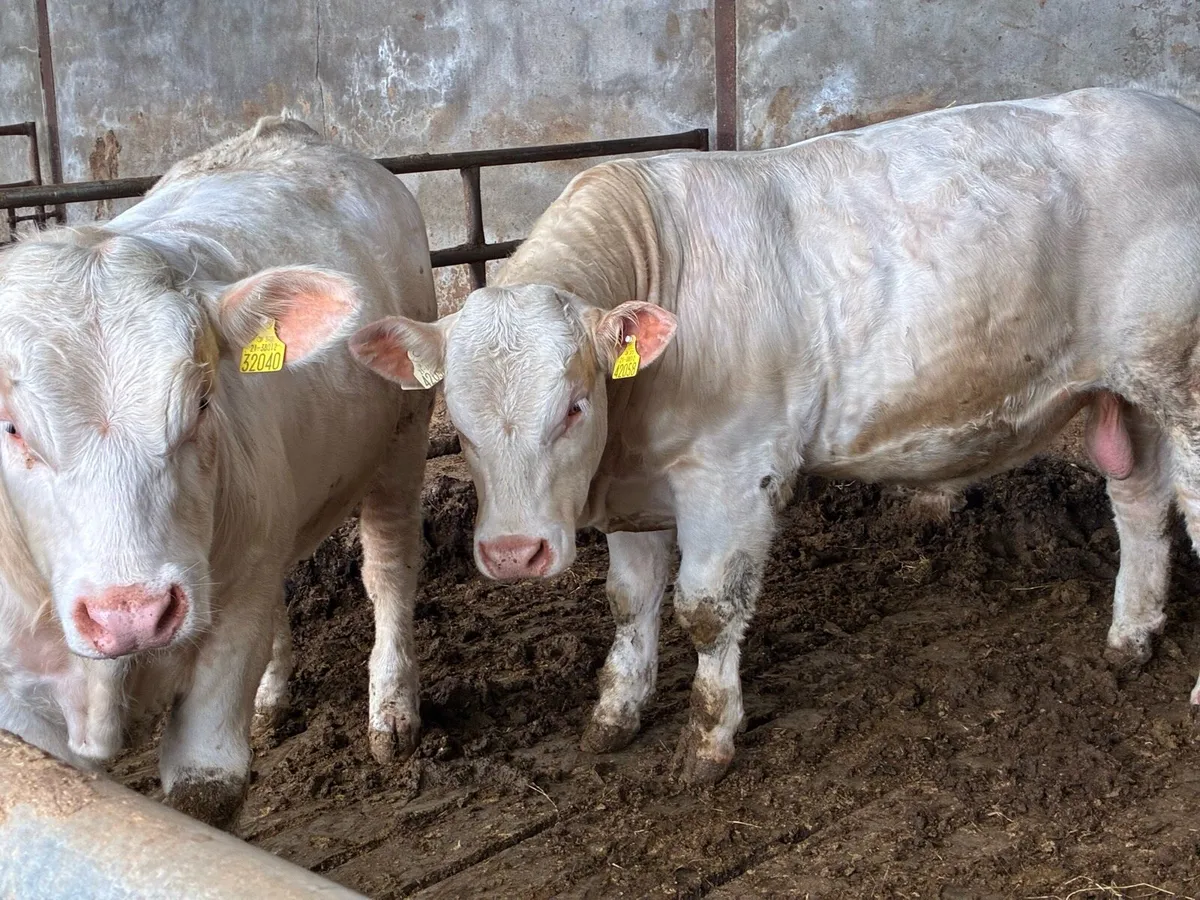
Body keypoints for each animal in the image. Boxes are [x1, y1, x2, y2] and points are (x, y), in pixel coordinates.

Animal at [0, 115, 434, 828]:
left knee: (389, 566)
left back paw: (393, 712)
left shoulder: (227, 634)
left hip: (405, 430)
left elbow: (206, 790)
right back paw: (272, 699)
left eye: (202, 400)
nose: (133, 614)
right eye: (11, 426)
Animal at [350, 87, 1200, 785]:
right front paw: (615, 714)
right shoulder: (637, 485)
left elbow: (704, 609)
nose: (512, 555)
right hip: (1130, 389)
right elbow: (630, 602)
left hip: (1185, 385)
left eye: (573, 407)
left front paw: (708, 743)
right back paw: (1130, 636)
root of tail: (1167, 108)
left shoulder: (734, 473)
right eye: (457, 426)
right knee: (1139, 503)